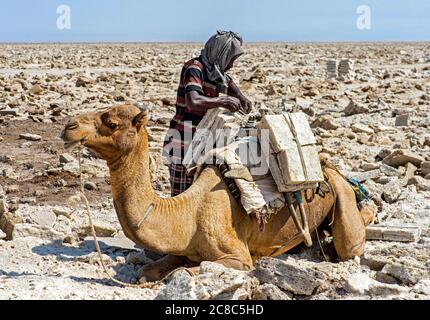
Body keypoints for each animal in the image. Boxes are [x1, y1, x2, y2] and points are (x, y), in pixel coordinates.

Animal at [60, 104, 376, 282]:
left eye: (111, 123)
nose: (68, 126)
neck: (188, 213)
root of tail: (328, 165)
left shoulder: (238, 258)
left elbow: (183, 273)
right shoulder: (182, 249)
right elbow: (147, 270)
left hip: (341, 196)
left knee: (350, 243)